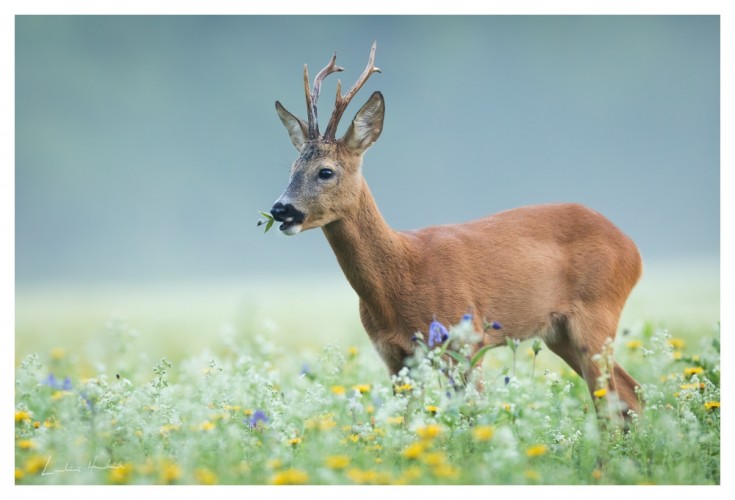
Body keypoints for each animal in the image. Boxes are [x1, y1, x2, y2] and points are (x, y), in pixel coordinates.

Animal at [270, 42, 644, 418]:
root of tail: (632, 249)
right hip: (559, 333)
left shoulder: (466, 340)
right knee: (631, 394)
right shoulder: (396, 357)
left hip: (596, 316)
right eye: (291, 168)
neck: (401, 278)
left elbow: (472, 415)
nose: (280, 210)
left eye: (325, 171)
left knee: (613, 402)